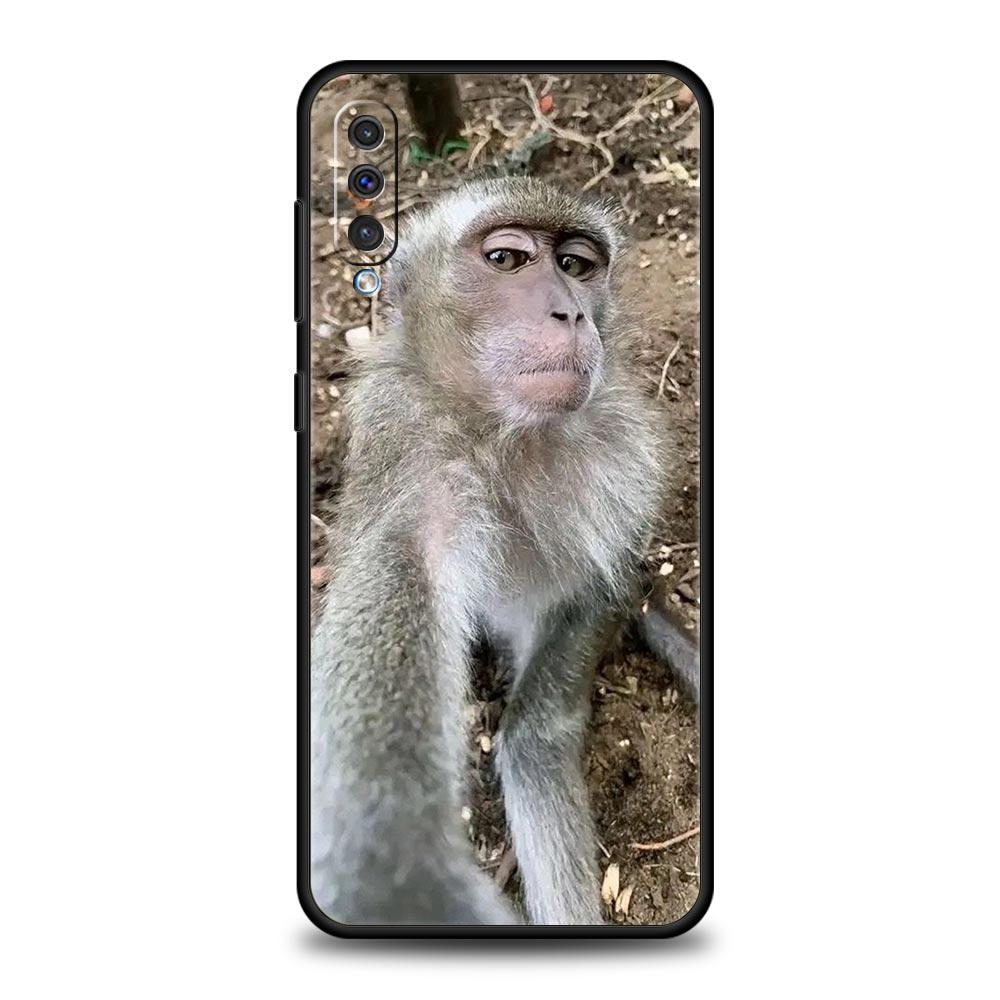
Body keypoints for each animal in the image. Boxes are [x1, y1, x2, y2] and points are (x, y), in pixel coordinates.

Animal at [311, 176, 694, 925]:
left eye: (576, 265)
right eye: (508, 260)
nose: (570, 311)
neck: (501, 431)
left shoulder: (623, 452)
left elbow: (600, 581)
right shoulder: (410, 453)